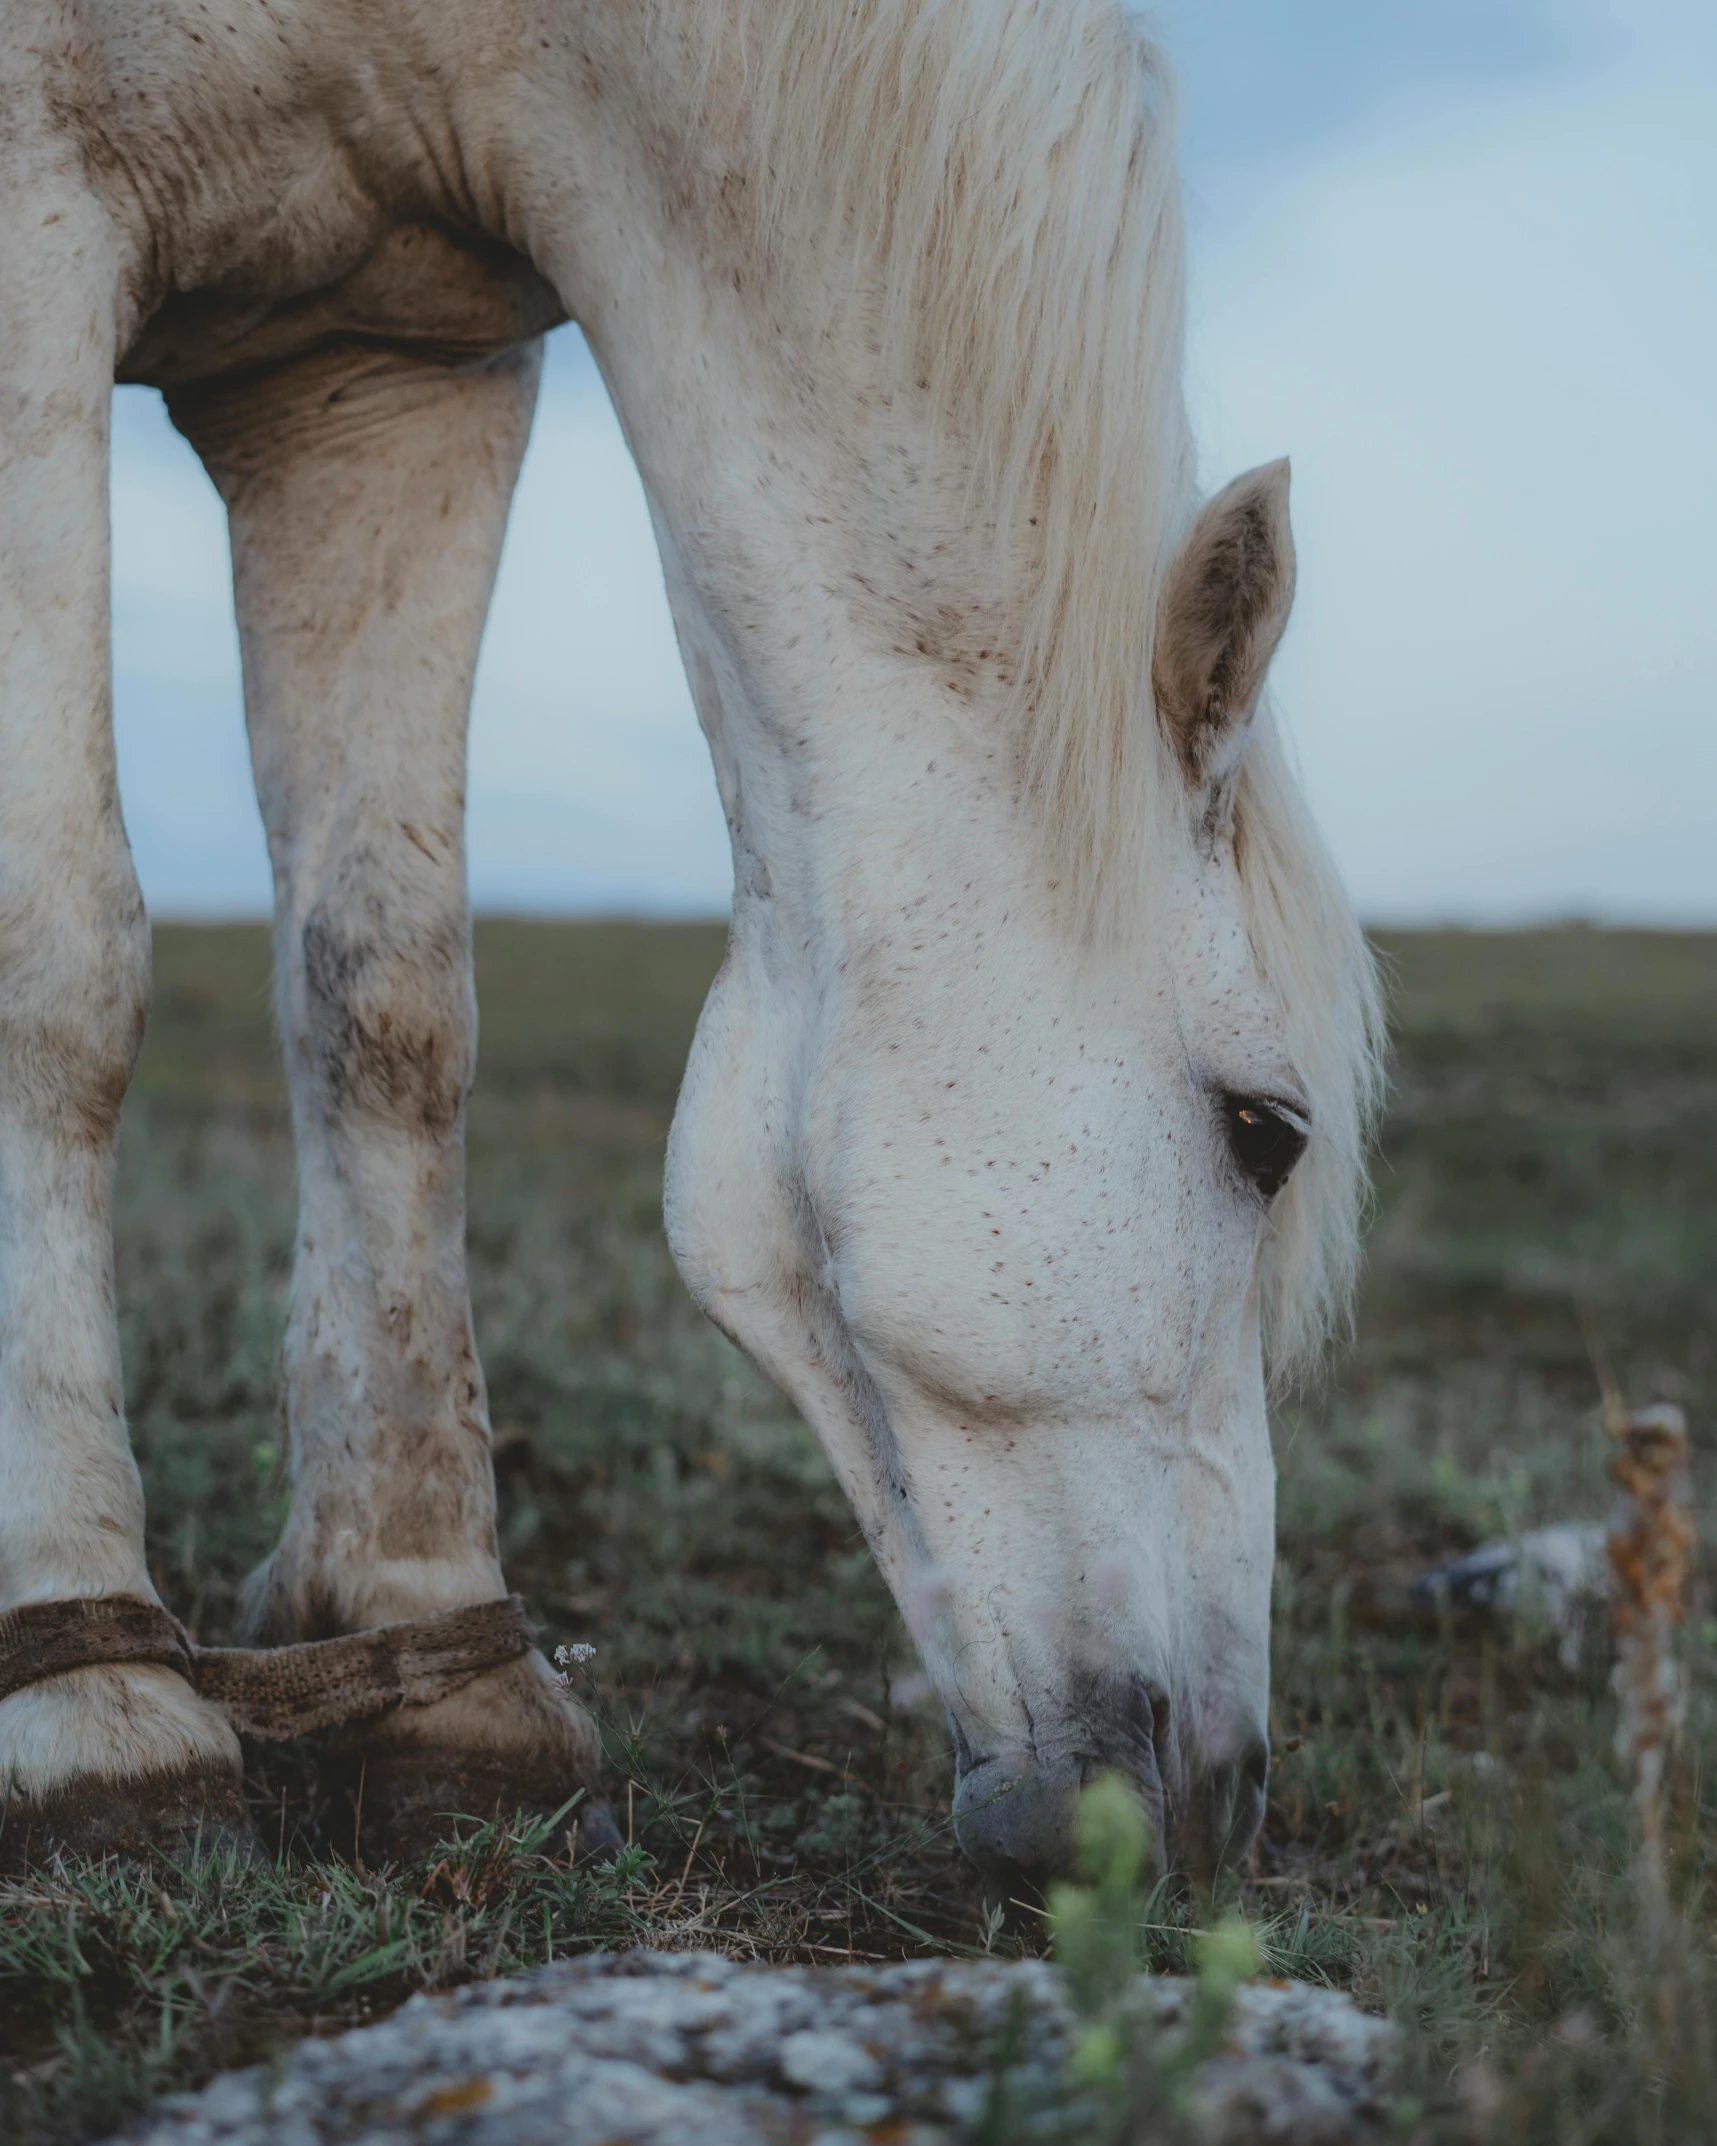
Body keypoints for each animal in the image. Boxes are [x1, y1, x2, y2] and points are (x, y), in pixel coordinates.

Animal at [0, 0, 1373, 1879]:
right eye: (1264, 1130)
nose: (1226, 1795)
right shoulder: (34, 233)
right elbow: (57, 967)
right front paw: (88, 1691)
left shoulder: (372, 373)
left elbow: (386, 994)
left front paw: (432, 1657)